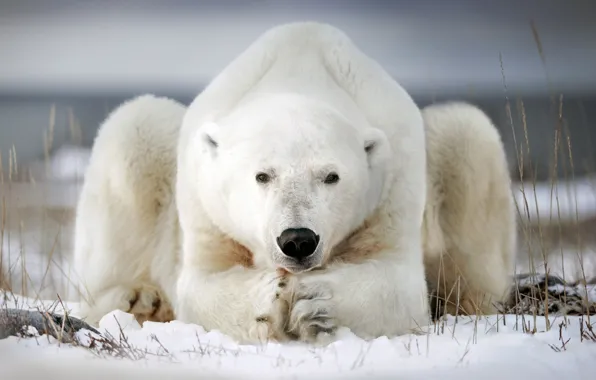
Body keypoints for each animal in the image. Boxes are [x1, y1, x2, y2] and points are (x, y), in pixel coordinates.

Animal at [72, 21, 516, 344]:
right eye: (262, 175)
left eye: (332, 176)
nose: (298, 240)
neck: (299, 69)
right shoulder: (205, 201)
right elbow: (202, 283)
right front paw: (270, 298)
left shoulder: (394, 180)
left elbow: (399, 282)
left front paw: (314, 301)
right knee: (135, 129)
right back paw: (138, 299)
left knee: (466, 135)